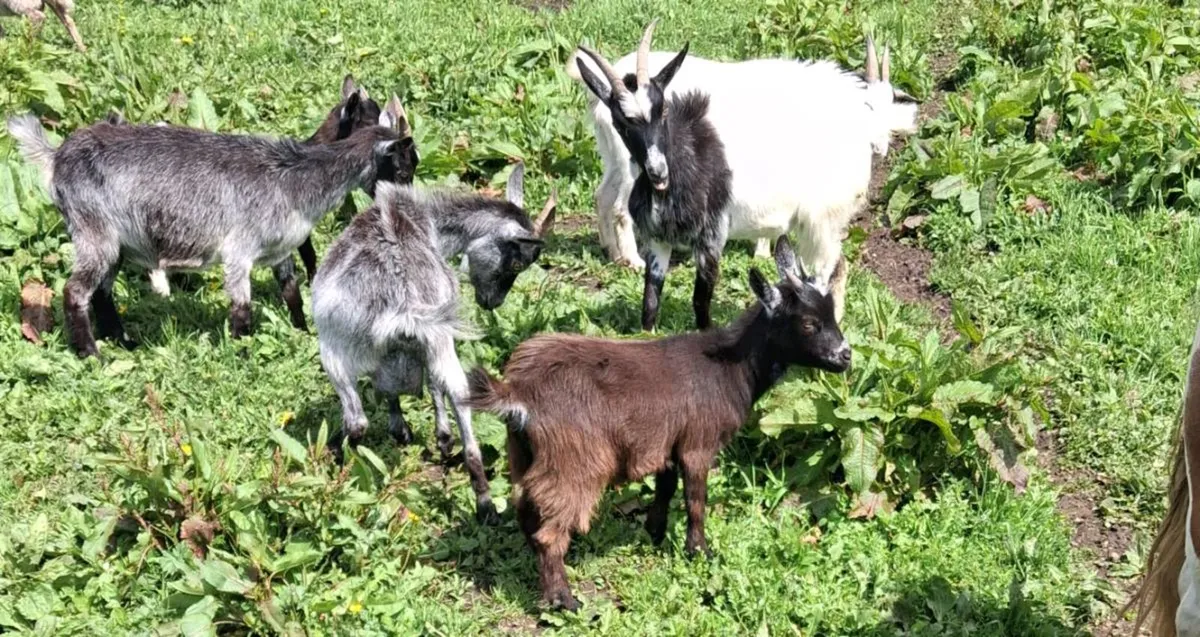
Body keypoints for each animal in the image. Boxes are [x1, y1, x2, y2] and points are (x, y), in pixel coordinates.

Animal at [313, 163, 555, 524]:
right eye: (514, 262)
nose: (493, 302)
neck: (427, 221)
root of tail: (401, 300)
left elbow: (422, 387)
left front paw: (423, 434)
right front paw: (418, 433)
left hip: (335, 348)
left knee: (359, 420)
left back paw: (340, 460)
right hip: (423, 341)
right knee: (457, 398)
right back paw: (484, 502)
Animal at [468, 236, 850, 609]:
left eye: (832, 315)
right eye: (809, 324)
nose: (845, 356)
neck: (729, 368)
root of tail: (517, 390)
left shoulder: (666, 444)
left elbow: (665, 488)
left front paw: (655, 533)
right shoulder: (698, 444)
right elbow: (695, 501)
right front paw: (700, 551)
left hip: (522, 453)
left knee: (525, 511)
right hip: (575, 461)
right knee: (550, 531)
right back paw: (564, 600)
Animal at [571, 25, 917, 326]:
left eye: (890, 103)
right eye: (870, 105)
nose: (881, 147)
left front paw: (762, 252)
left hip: (612, 158)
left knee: (602, 195)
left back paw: (610, 249)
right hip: (628, 163)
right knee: (619, 207)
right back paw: (630, 259)